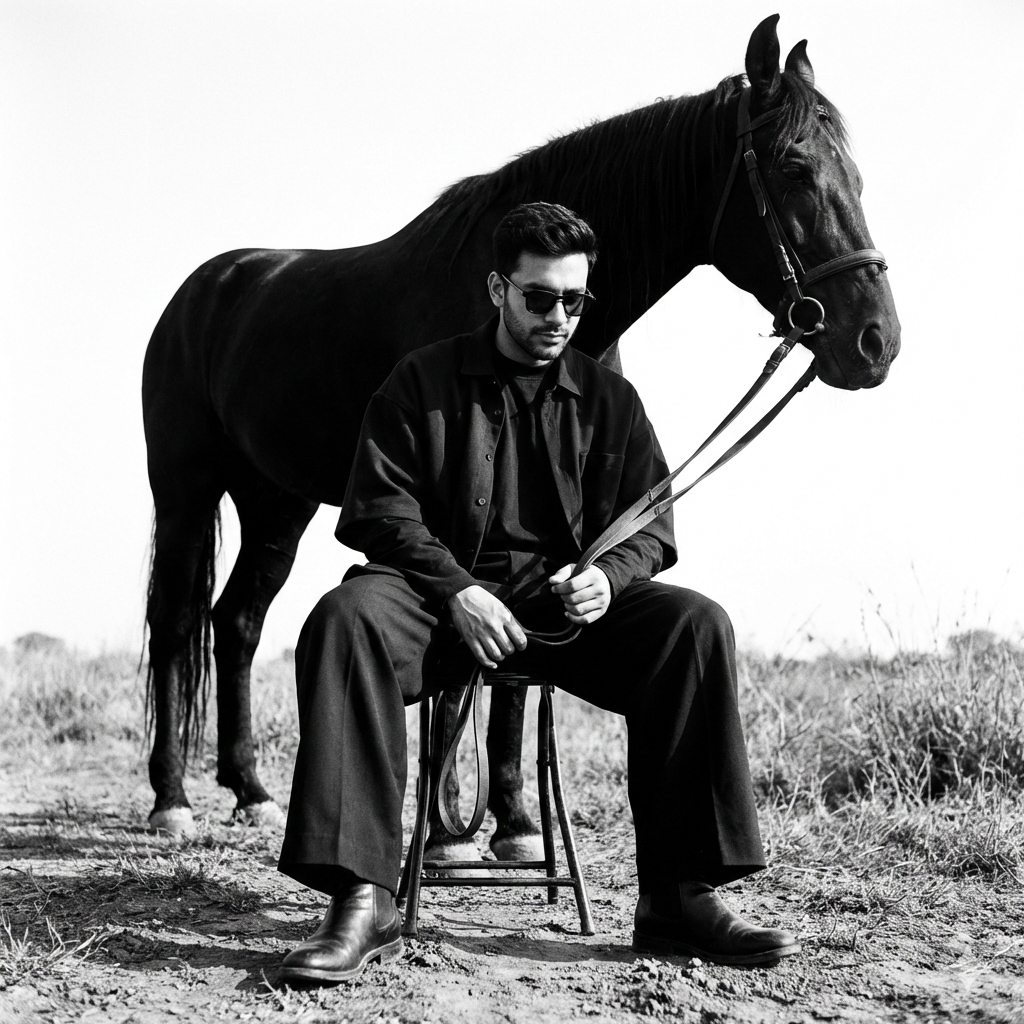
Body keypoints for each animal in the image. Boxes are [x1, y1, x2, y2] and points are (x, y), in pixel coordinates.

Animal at [141, 14, 901, 852]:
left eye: (854, 172)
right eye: (795, 166)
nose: (876, 341)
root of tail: (208, 288)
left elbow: (513, 671)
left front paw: (511, 820)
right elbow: (467, 659)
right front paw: (450, 826)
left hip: (278, 500)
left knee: (237, 622)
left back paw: (250, 791)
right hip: (185, 490)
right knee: (176, 625)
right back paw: (171, 799)